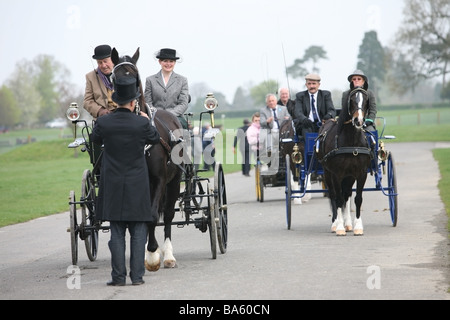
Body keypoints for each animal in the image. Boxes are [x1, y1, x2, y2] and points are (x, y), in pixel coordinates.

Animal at [110, 48, 183, 270]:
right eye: (113, 77)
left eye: (135, 77)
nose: (124, 102)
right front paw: (147, 252)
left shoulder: (159, 179)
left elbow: (152, 215)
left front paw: (152, 253)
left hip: (173, 181)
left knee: (167, 214)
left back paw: (167, 254)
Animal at [314, 87, 370, 235]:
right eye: (352, 100)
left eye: (366, 100)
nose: (358, 120)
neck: (351, 143)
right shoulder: (336, 174)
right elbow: (337, 199)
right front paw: (339, 227)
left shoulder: (361, 173)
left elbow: (357, 199)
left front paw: (357, 226)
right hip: (327, 173)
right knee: (334, 195)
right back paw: (335, 224)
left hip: (349, 176)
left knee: (347, 195)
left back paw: (348, 224)